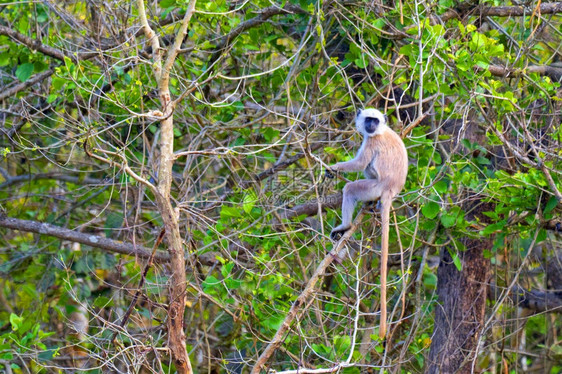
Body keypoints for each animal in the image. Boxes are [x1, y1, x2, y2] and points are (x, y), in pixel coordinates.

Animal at [324, 108, 406, 338]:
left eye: (374, 121)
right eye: (369, 119)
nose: (370, 126)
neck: (380, 131)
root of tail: (390, 189)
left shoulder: (371, 141)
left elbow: (360, 164)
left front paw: (334, 168)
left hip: (374, 186)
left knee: (353, 186)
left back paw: (345, 226)